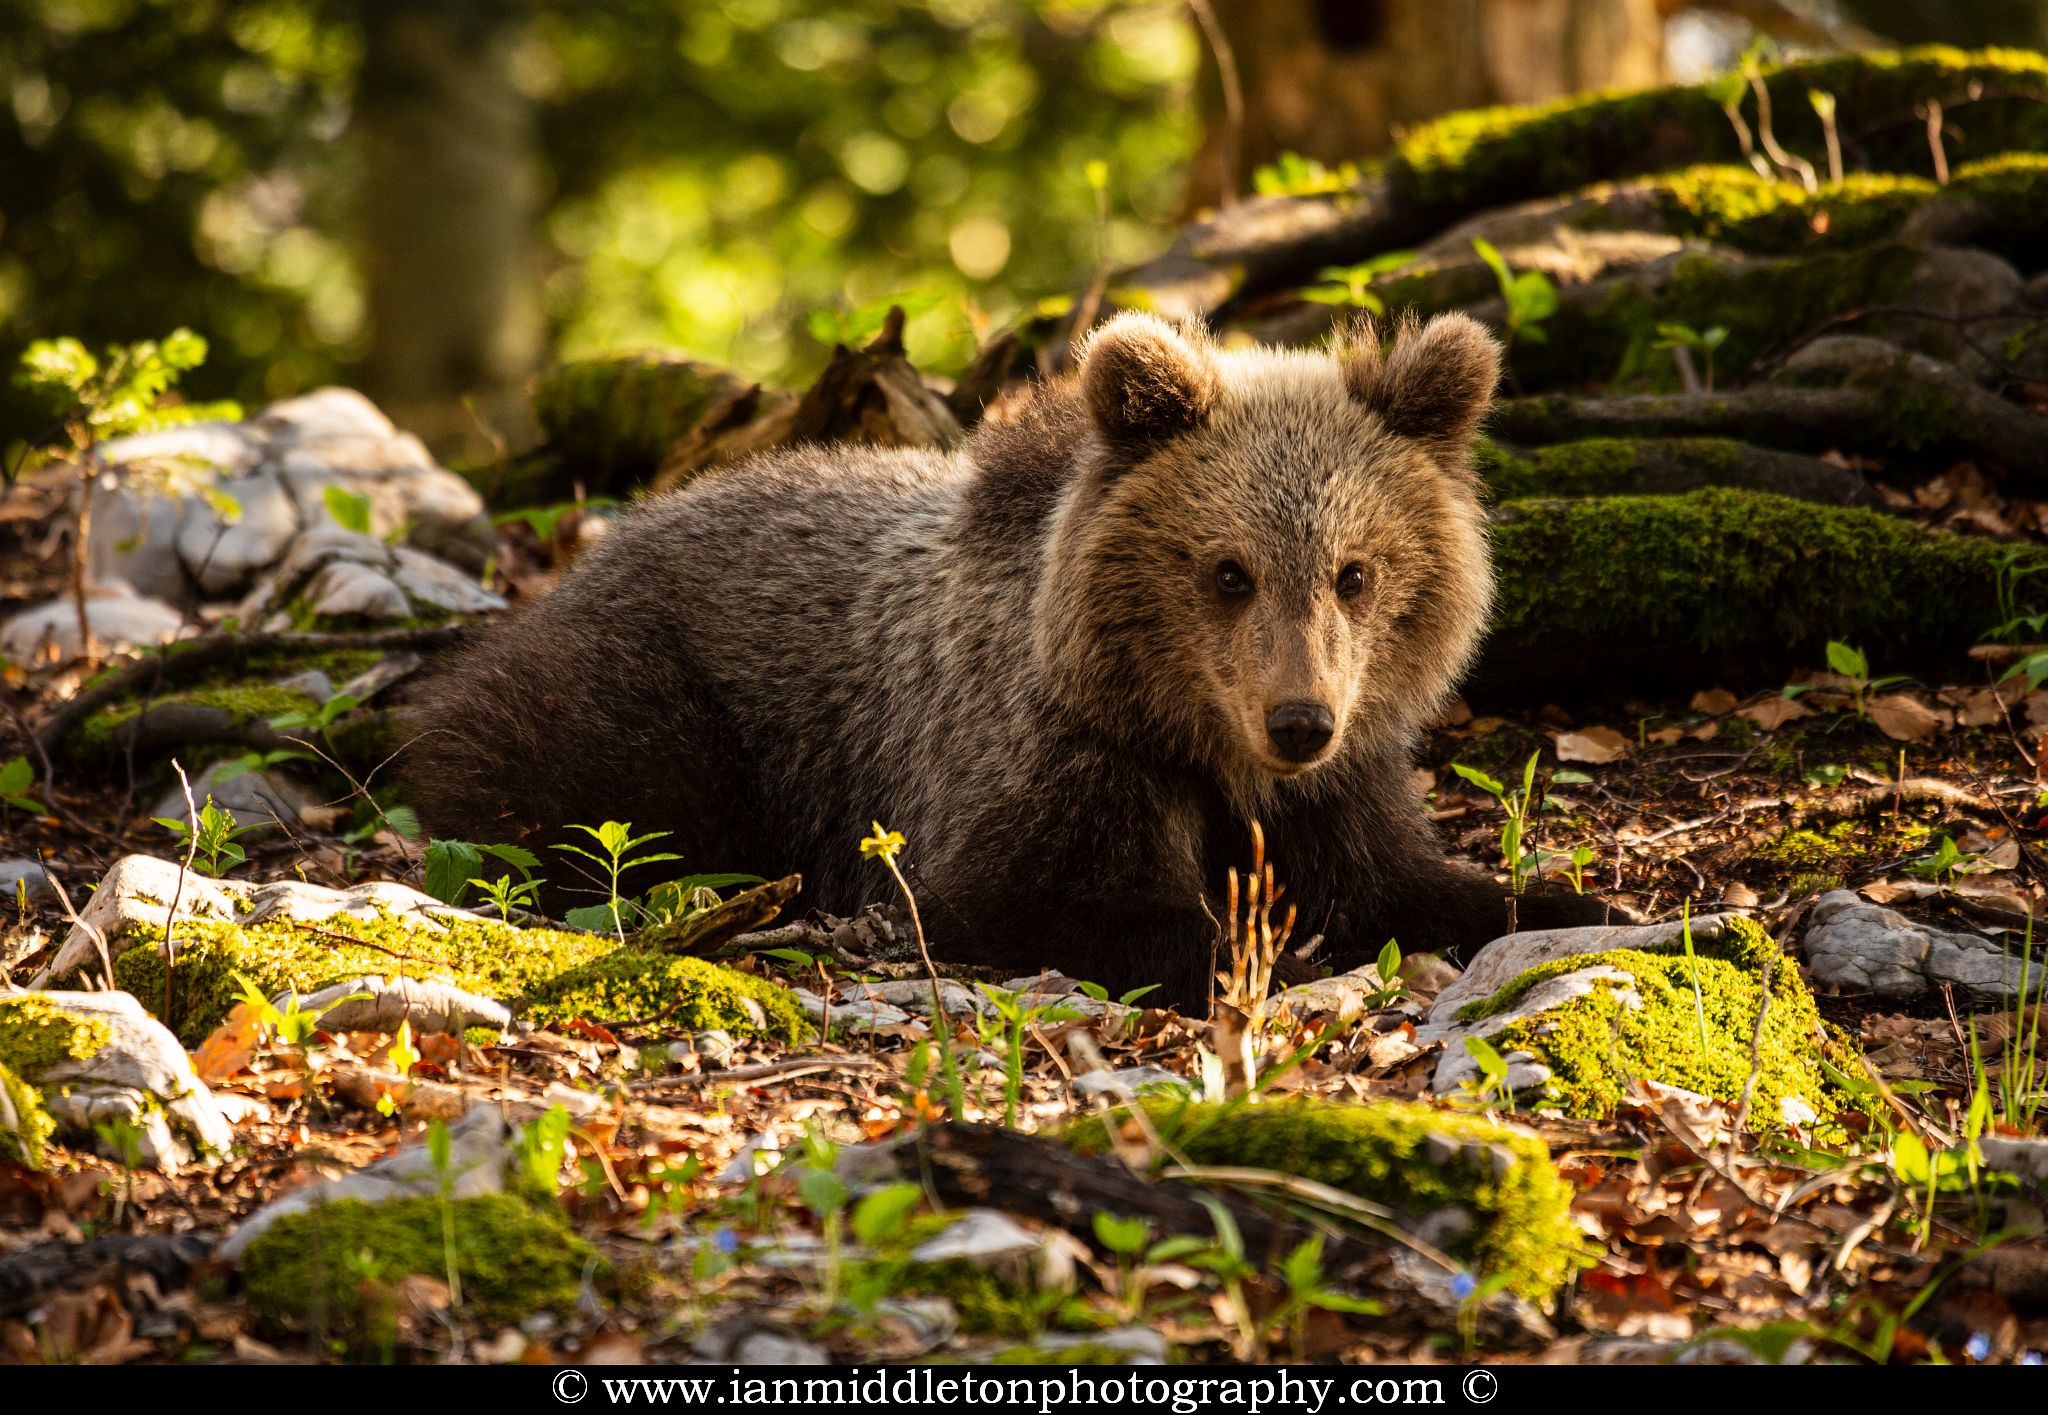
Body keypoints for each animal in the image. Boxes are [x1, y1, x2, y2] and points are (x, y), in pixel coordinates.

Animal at [407, 313, 1605, 1007]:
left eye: (1356, 571)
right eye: (1227, 570)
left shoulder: (1334, 789)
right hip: (667, 700)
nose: (1299, 719)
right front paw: (1243, 943)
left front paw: (1563, 900)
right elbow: (1032, 891)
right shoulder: (1045, 753)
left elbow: (1403, 877)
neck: (1195, 737)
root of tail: (610, 541)